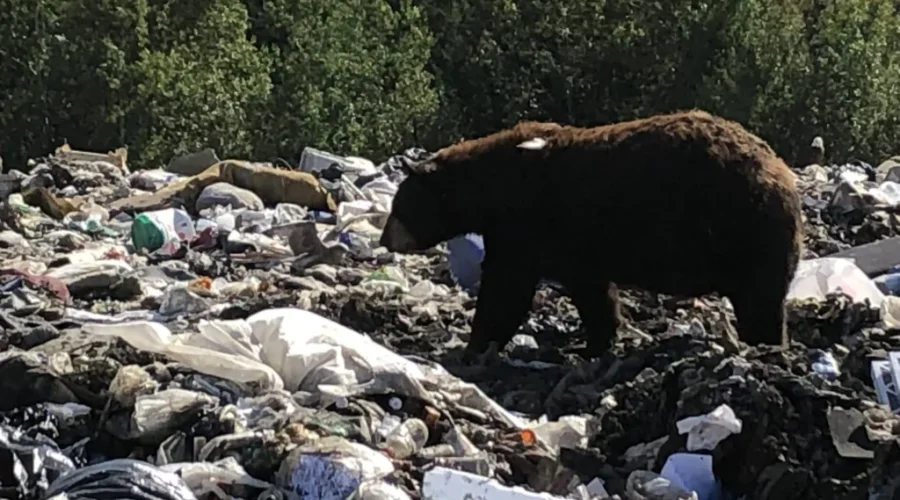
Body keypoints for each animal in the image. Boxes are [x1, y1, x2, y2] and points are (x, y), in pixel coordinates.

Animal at [379, 110, 804, 358]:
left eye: (398, 206)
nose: (385, 240)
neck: (490, 187)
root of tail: (780, 172)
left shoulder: (526, 224)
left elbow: (506, 290)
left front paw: (474, 345)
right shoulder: (572, 246)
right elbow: (592, 292)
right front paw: (601, 341)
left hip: (746, 231)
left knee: (759, 300)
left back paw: (765, 345)